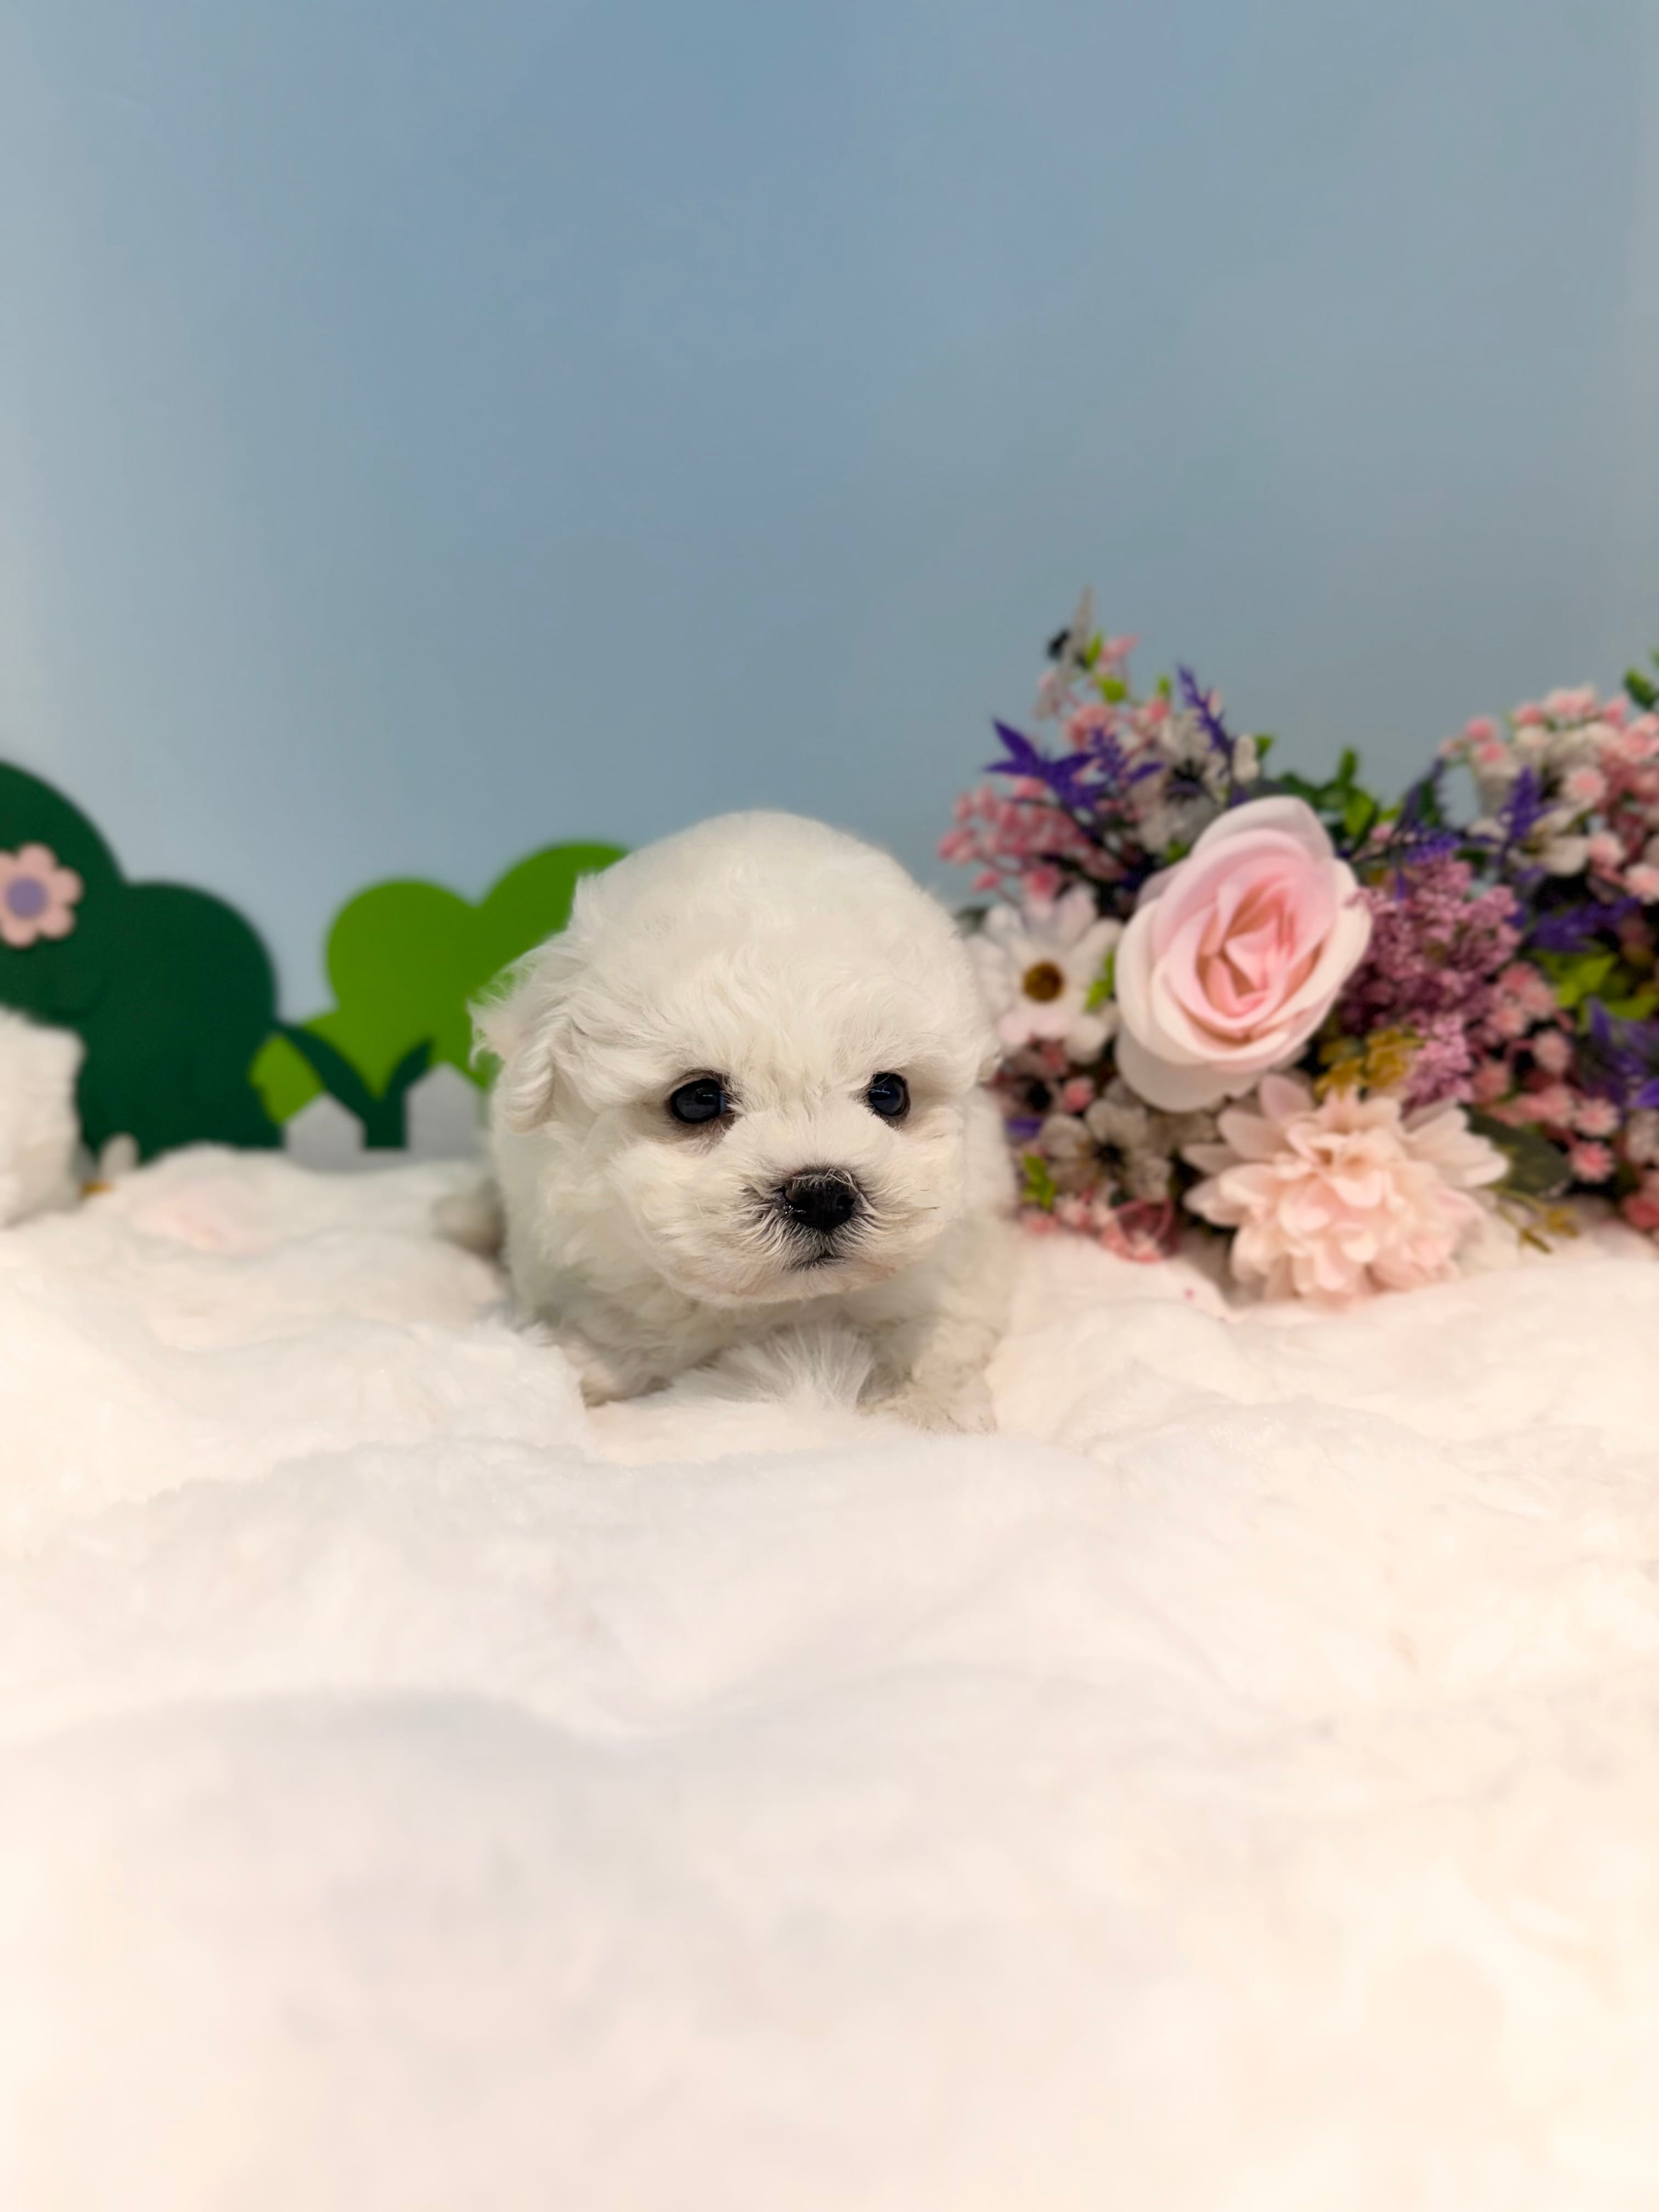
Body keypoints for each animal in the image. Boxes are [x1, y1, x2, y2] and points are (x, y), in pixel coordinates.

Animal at [472, 811, 1016, 1431]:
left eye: (890, 1094)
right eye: (698, 1100)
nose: (822, 1194)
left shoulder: (965, 1248)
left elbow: (935, 1327)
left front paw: (927, 1405)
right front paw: (586, 1367)